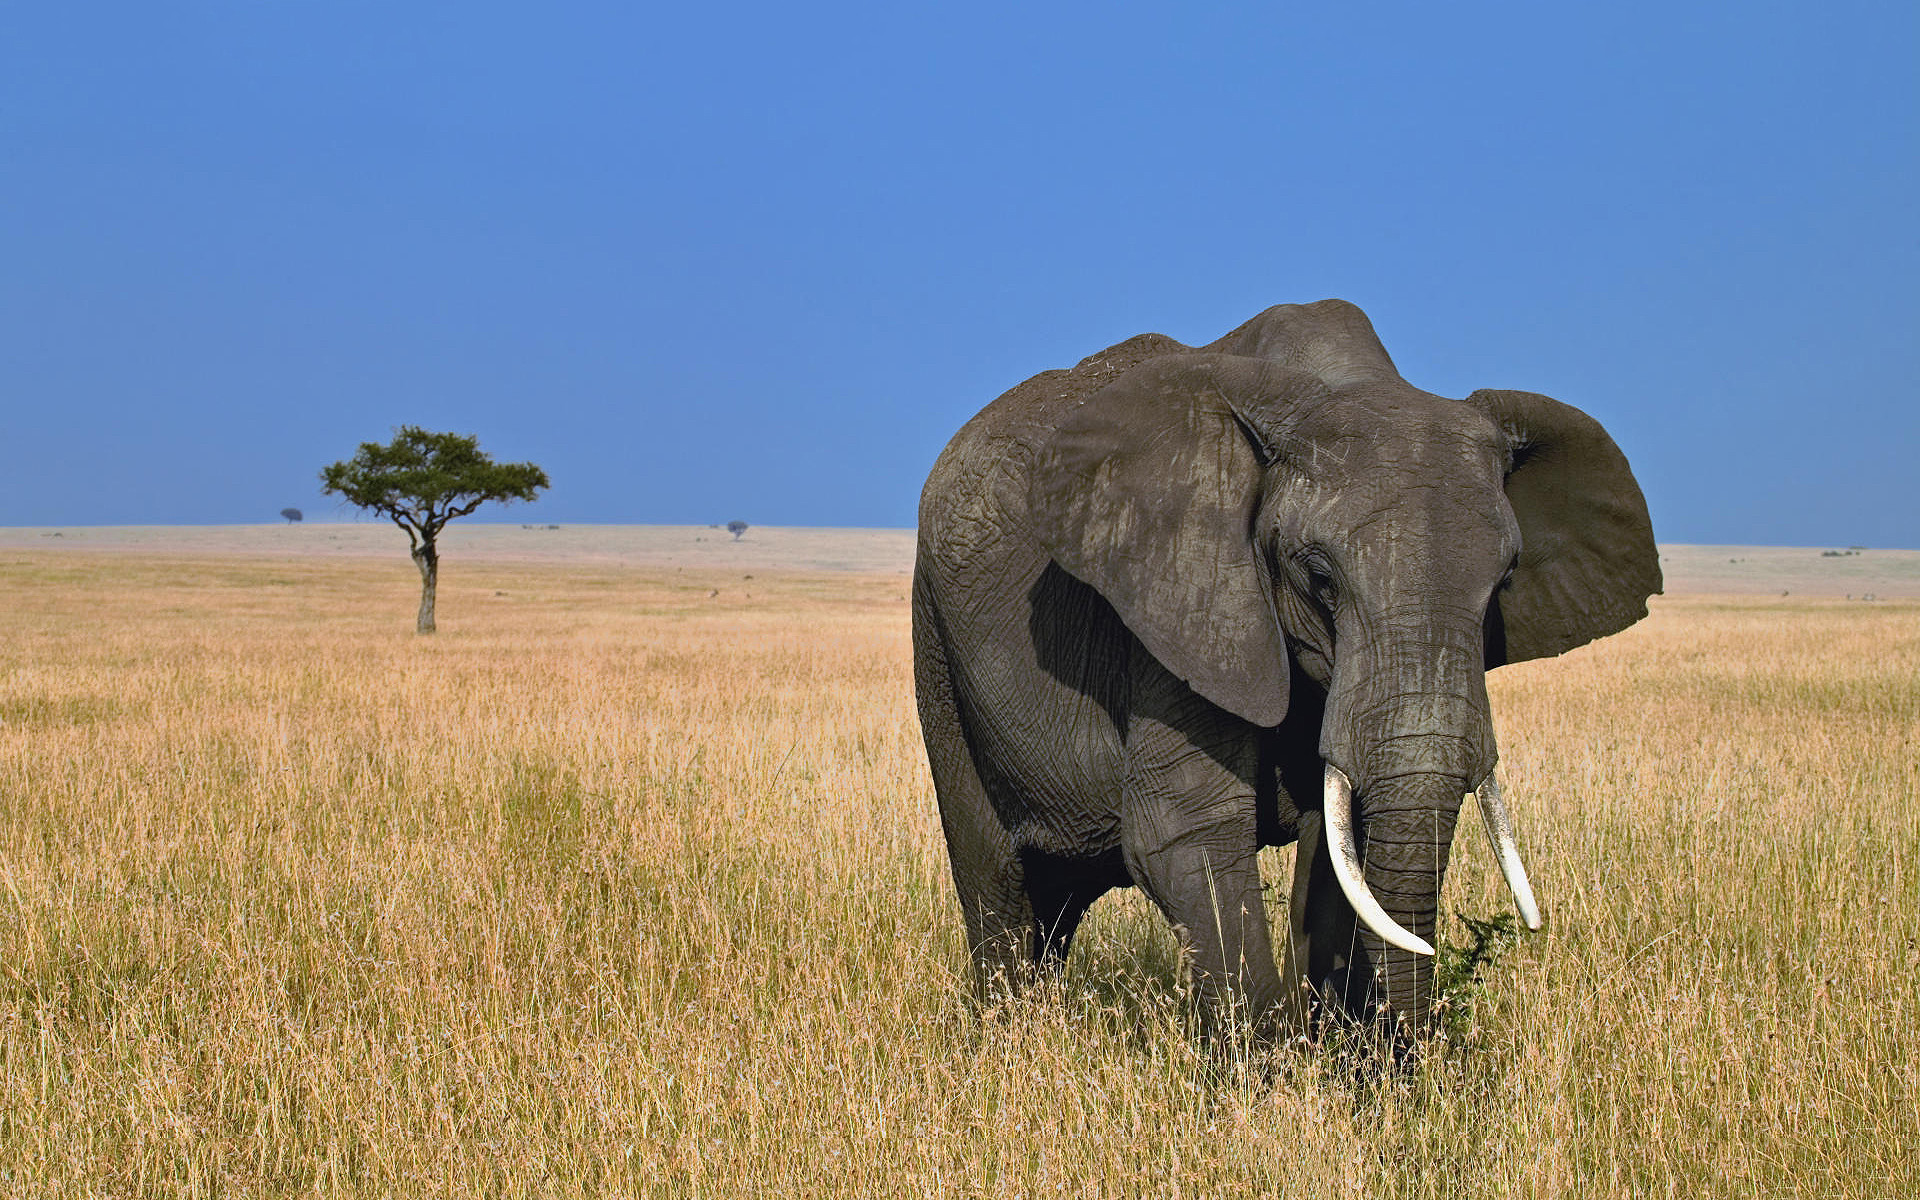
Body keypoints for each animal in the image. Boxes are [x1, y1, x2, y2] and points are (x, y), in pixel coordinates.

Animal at [912, 299, 1659, 1046]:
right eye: (1320, 577)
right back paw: (1012, 1038)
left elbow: (1337, 849)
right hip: (938, 646)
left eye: (1503, 582)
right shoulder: (1182, 600)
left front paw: (1345, 1059)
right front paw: (1269, 1071)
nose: (1408, 1053)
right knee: (998, 879)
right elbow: (1184, 831)